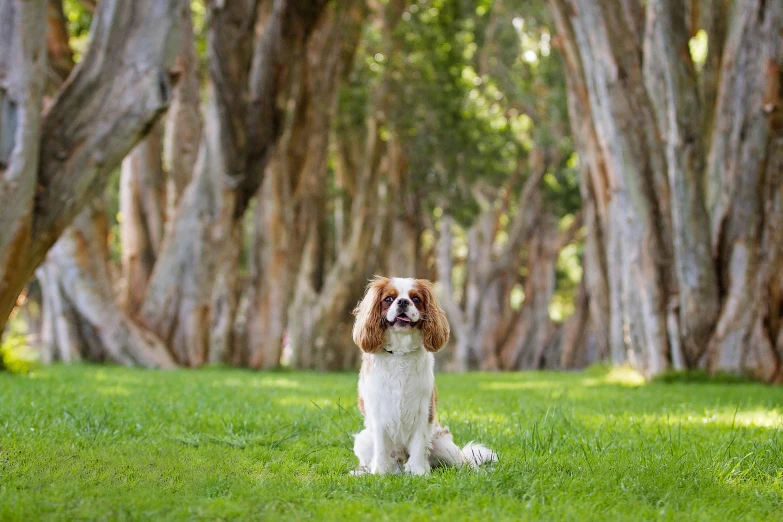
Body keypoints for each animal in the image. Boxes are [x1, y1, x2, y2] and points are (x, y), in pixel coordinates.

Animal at [350, 274, 496, 474]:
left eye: (416, 299)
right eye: (389, 299)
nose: (403, 302)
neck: (400, 352)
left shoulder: (422, 410)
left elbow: (419, 443)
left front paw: (419, 472)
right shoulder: (378, 412)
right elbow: (380, 448)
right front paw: (379, 473)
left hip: (444, 446)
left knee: (463, 461)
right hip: (363, 441)